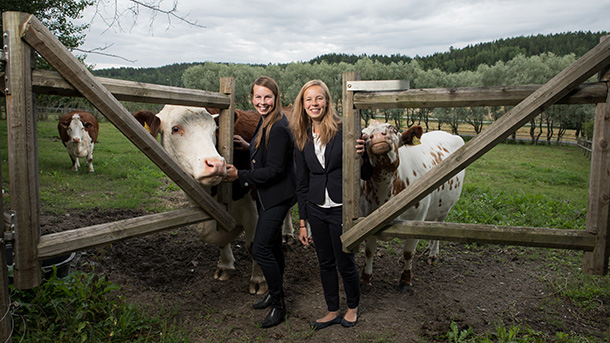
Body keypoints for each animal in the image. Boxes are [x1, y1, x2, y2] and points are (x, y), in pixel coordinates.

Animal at [358, 121, 464, 292]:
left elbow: (408, 252)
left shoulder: (417, 218)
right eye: (365, 135)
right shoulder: (365, 221)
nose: (378, 136)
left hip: (445, 208)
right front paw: (365, 279)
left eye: (394, 129)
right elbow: (369, 251)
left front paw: (405, 280)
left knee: (439, 226)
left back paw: (433, 253)